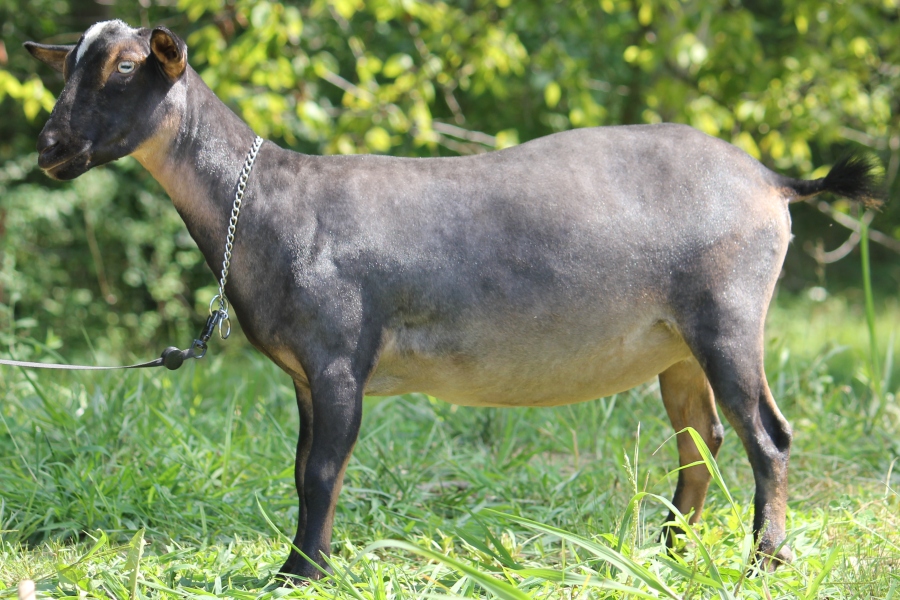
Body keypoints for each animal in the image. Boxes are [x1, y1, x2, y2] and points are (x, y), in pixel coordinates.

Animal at [26, 20, 879, 580]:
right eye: (67, 67)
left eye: (127, 66)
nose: (50, 148)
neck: (272, 203)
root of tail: (772, 181)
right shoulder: (305, 375)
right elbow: (302, 466)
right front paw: (305, 563)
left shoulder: (340, 358)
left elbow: (322, 470)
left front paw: (300, 574)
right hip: (677, 340)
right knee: (701, 438)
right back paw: (668, 552)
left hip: (729, 313)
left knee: (768, 436)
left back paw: (764, 559)